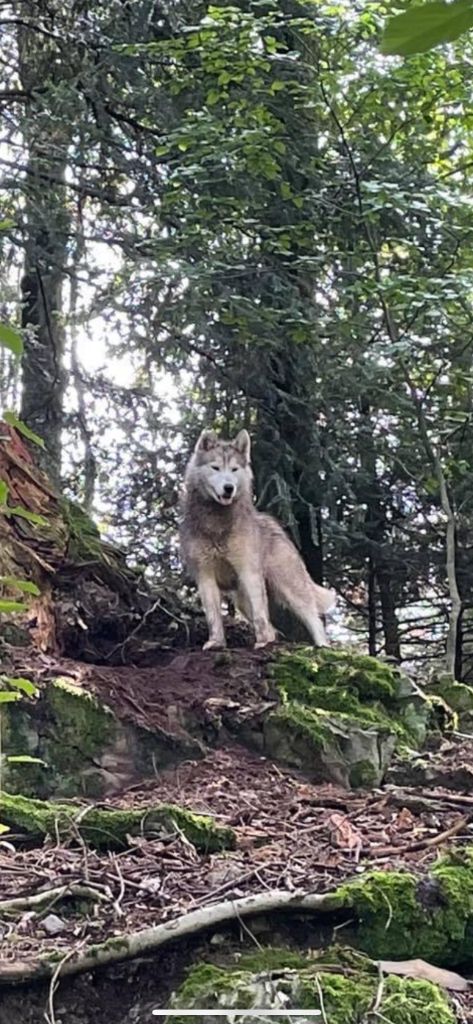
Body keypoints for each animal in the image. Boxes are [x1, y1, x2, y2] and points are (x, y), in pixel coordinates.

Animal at [178, 428, 335, 651]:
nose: (229, 488)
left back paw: (322, 646)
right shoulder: (205, 575)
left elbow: (261, 615)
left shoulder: (249, 571)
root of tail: (276, 526)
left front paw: (261, 643)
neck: (216, 523)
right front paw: (216, 642)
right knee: (272, 626)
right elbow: (214, 617)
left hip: (290, 590)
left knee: (313, 619)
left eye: (234, 469)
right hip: (242, 602)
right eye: (215, 467)